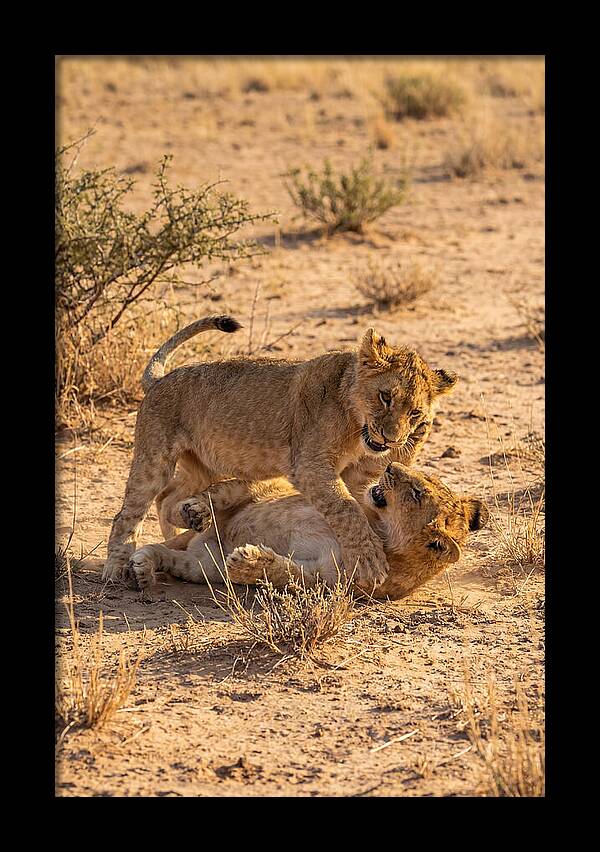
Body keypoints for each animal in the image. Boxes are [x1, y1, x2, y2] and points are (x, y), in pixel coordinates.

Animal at [103, 315, 457, 592]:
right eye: (385, 396)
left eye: (415, 413)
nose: (391, 439)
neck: (356, 425)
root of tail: (160, 379)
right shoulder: (311, 465)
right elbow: (347, 509)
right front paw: (370, 560)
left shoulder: (359, 473)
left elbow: (359, 501)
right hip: (155, 458)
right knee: (129, 513)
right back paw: (117, 568)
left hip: (203, 466)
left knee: (168, 498)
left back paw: (186, 526)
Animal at [128, 462, 489, 600]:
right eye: (421, 478)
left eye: (416, 493)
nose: (389, 466)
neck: (379, 529)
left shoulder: (324, 581)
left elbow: (284, 573)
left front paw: (247, 561)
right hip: (257, 489)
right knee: (219, 493)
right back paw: (193, 512)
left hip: (203, 566)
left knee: (170, 556)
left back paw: (143, 568)